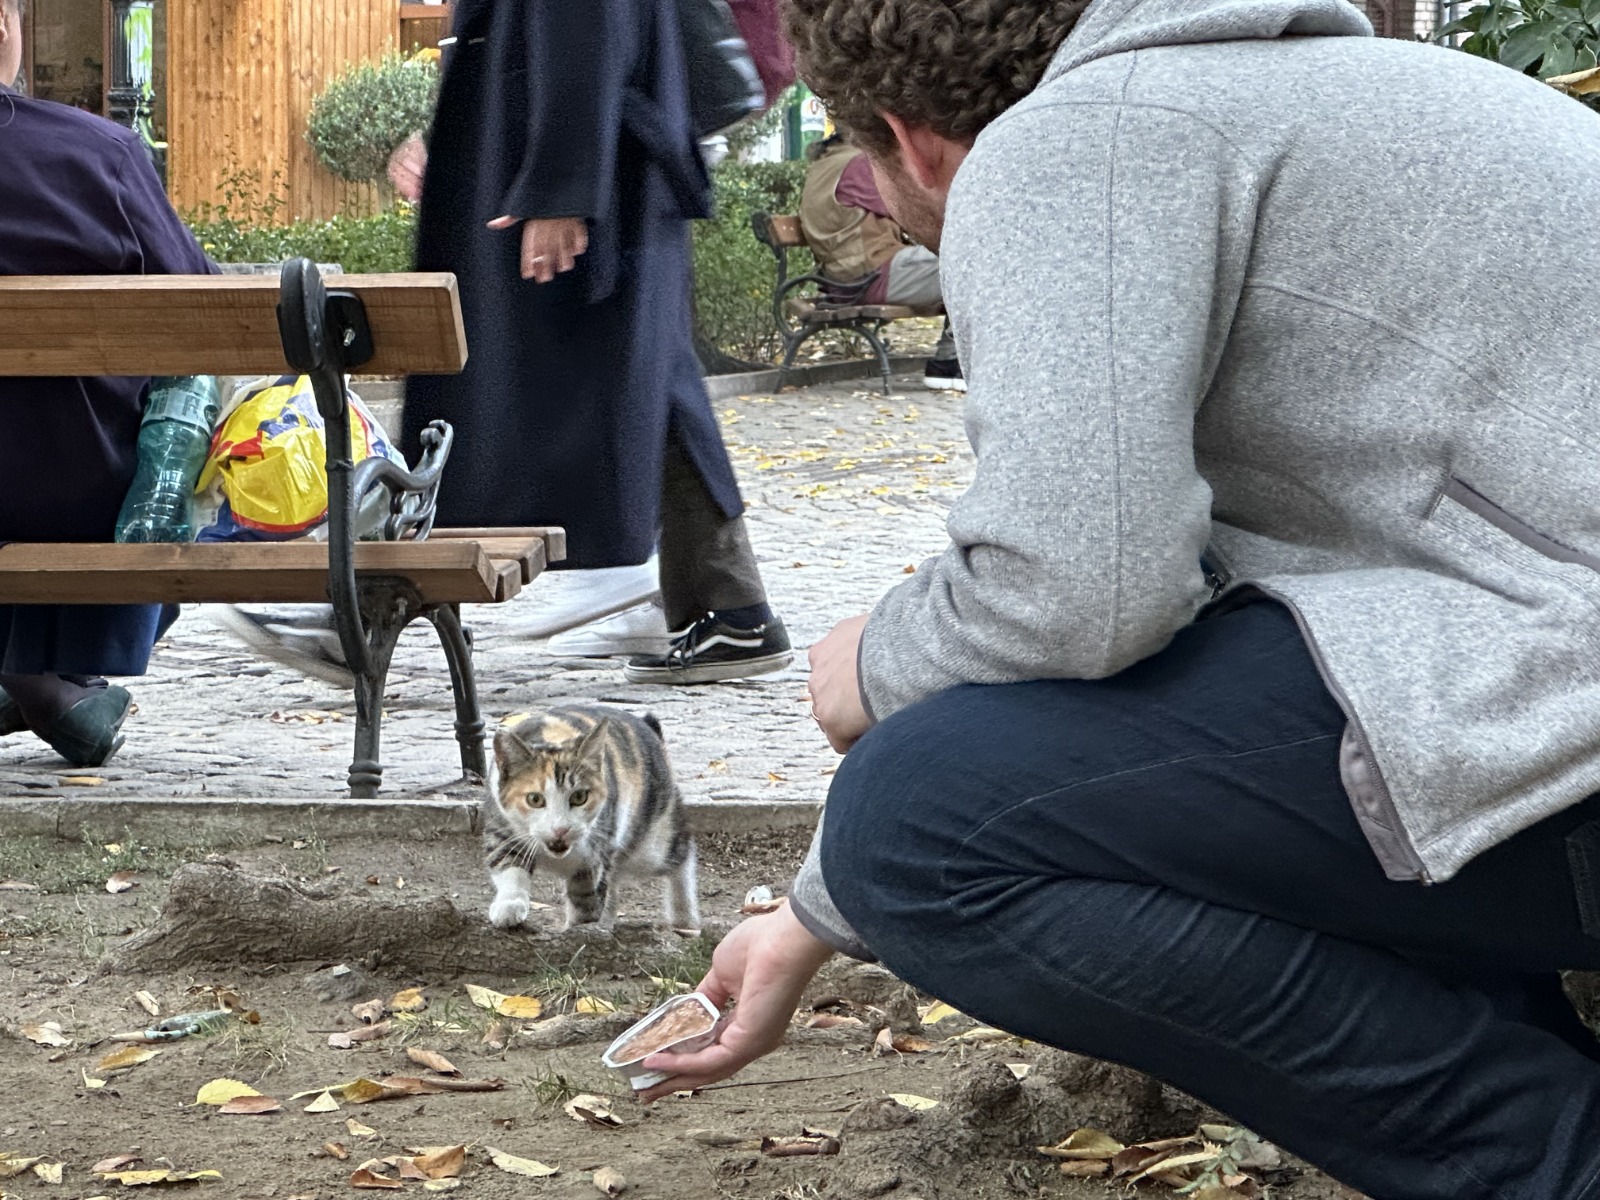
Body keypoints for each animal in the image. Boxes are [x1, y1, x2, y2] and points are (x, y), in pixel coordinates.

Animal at [476, 710, 697, 934]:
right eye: (534, 799)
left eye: (579, 796)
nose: (561, 829)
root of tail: (646, 725)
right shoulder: (501, 825)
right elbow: (507, 863)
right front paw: (508, 907)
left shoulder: (597, 851)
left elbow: (586, 896)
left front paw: (582, 928)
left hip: (650, 839)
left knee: (682, 852)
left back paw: (684, 916)